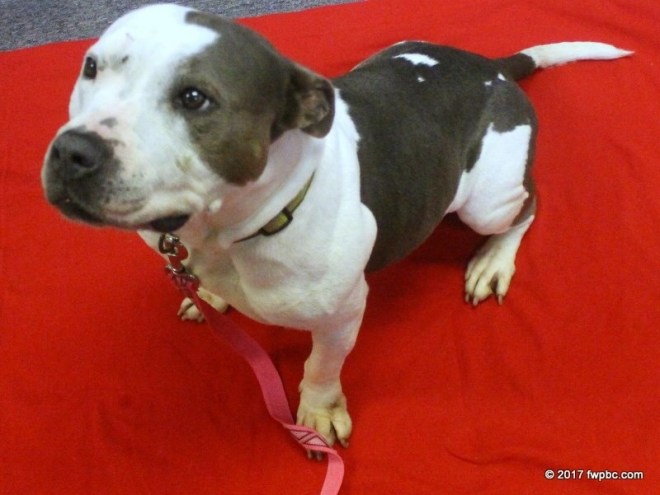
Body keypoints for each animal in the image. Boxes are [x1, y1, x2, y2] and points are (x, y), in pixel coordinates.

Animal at [41, 3, 631, 449]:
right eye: (91, 67)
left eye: (194, 98)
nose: (73, 151)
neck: (234, 230)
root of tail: (494, 66)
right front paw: (209, 292)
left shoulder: (342, 315)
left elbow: (322, 366)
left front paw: (319, 412)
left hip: (487, 200)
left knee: (528, 207)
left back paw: (492, 260)